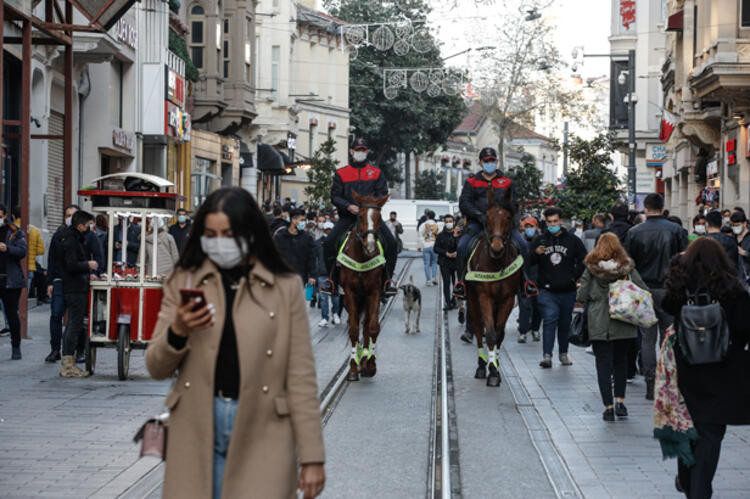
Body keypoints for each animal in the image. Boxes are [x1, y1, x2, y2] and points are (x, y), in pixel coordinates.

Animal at [340, 191, 390, 382]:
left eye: (379, 216)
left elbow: (373, 327)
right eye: (360, 215)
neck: (362, 257)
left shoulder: (374, 292)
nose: (370, 247)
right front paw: (353, 369)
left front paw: (370, 364)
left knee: (367, 324)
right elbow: (354, 330)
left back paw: (365, 359)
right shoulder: (349, 293)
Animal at [470, 188, 524, 386]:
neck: (497, 264)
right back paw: (480, 366)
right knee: (478, 328)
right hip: (472, 299)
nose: (497, 248)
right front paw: (492, 371)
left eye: (508, 217)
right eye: (487, 216)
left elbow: (499, 334)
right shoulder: (484, 297)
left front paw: (496, 368)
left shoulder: (508, 299)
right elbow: (490, 334)